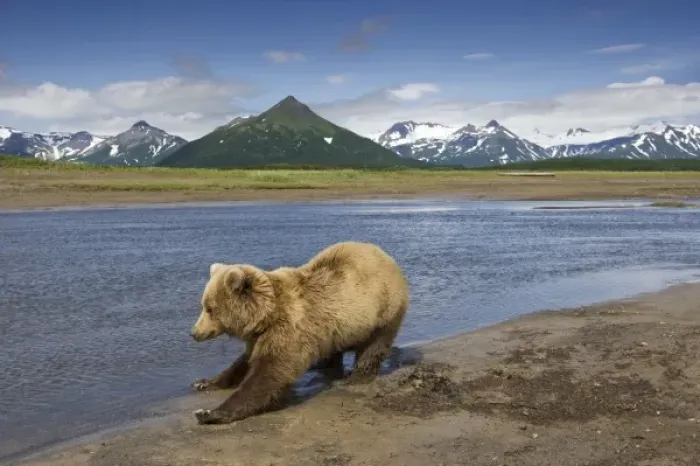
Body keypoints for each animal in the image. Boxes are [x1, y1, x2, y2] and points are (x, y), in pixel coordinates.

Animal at [189, 241, 410, 425]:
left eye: (210, 309)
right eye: (203, 305)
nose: (194, 332)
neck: (266, 315)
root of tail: (387, 256)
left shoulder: (289, 328)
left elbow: (268, 373)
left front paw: (209, 413)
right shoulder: (260, 336)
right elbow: (244, 362)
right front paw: (204, 383)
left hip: (383, 311)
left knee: (374, 347)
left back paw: (353, 378)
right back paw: (322, 364)